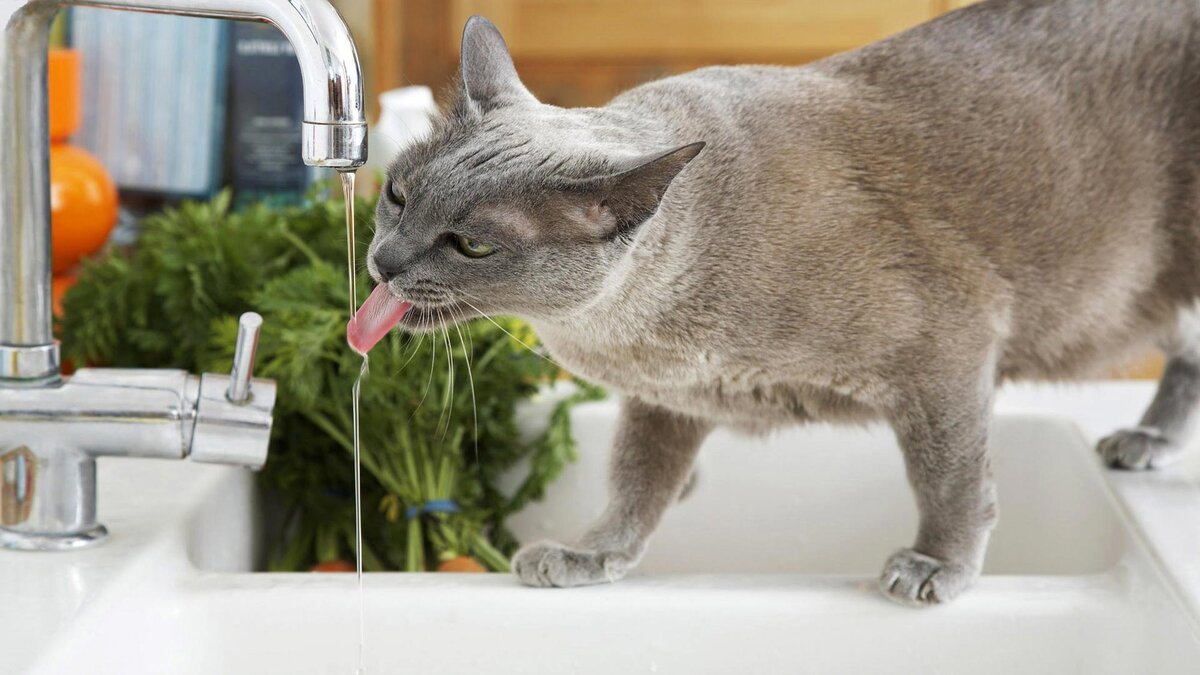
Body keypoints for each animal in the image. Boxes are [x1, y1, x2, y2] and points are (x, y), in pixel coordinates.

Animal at [362, 2, 1200, 605]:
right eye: (398, 193)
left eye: (472, 244)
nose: (382, 260)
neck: (629, 330)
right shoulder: (667, 399)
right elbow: (636, 481)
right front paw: (591, 554)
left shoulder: (947, 355)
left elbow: (950, 476)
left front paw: (936, 566)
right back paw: (1143, 440)